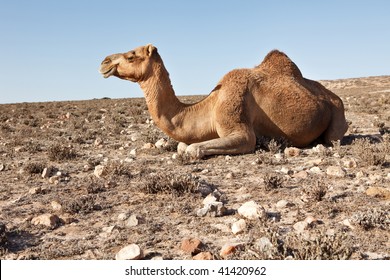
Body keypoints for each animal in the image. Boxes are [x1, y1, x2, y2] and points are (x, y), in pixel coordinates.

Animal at [100, 43, 348, 158]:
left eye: (131, 55)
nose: (104, 62)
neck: (210, 105)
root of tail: (335, 98)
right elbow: (183, 145)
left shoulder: (237, 124)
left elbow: (193, 149)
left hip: (337, 113)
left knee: (333, 137)